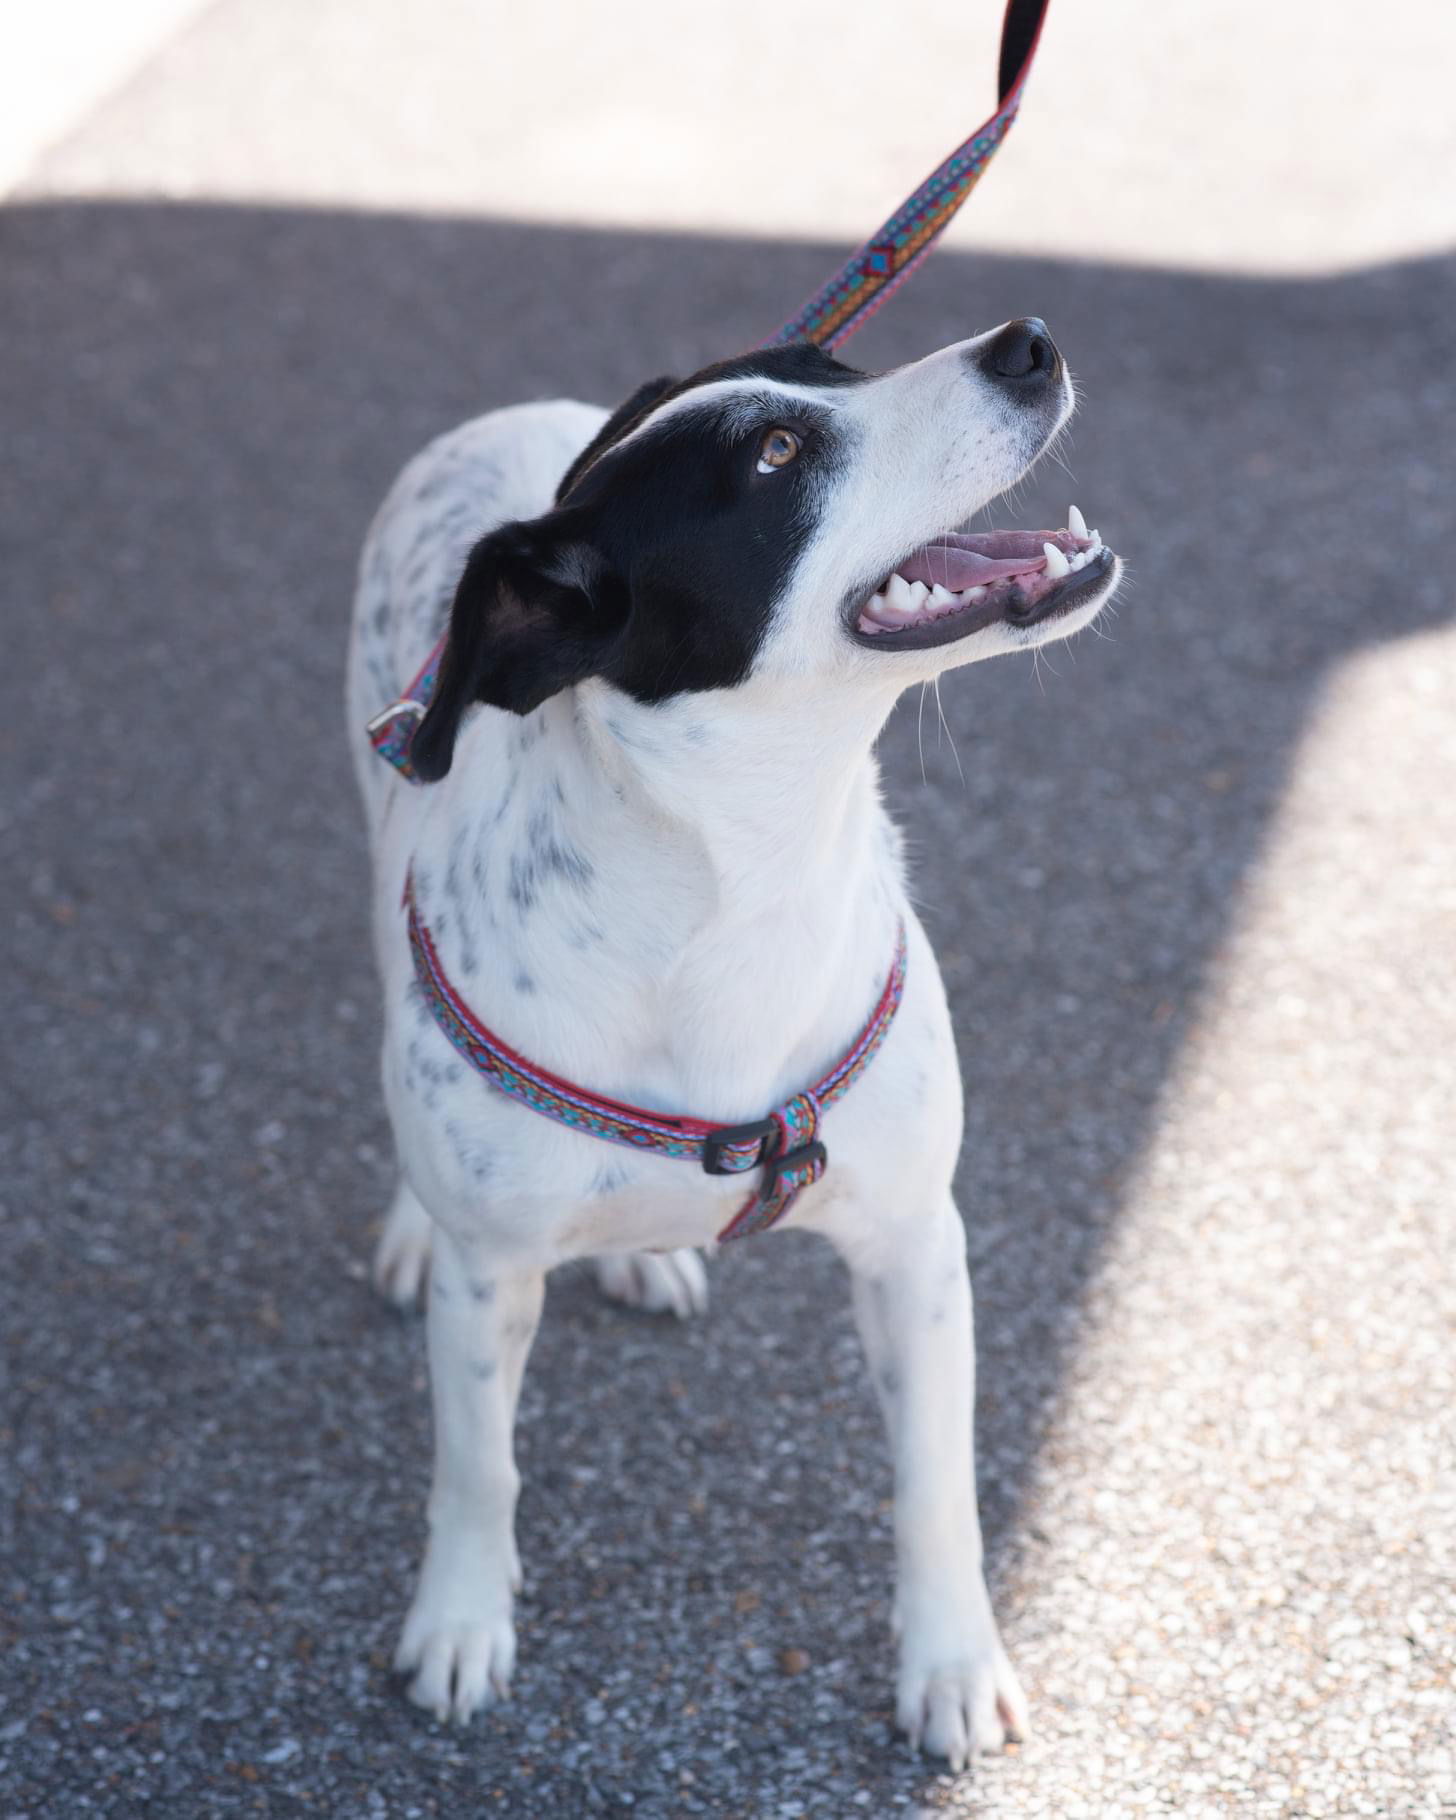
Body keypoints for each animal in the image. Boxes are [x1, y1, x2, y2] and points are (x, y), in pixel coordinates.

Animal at [347, 320, 1121, 1769]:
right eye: (774, 455)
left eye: (837, 366)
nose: (1027, 341)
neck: (742, 877)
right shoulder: (493, 1284)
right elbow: (479, 1466)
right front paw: (461, 1620)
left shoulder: (917, 1245)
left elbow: (936, 1485)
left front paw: (950, 1662)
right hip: (383, 814)